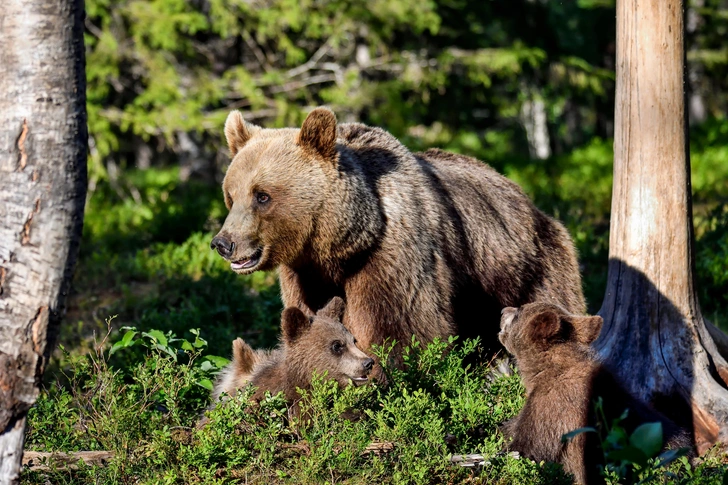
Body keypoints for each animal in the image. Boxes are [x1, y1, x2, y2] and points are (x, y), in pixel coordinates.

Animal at [210, 106, 584, 364]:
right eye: (231, 195)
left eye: (262, 195)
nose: (223, 243)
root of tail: (525, 196)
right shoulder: (305, 275)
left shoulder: (390, 258)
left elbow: (399, 330)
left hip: (525, 267)